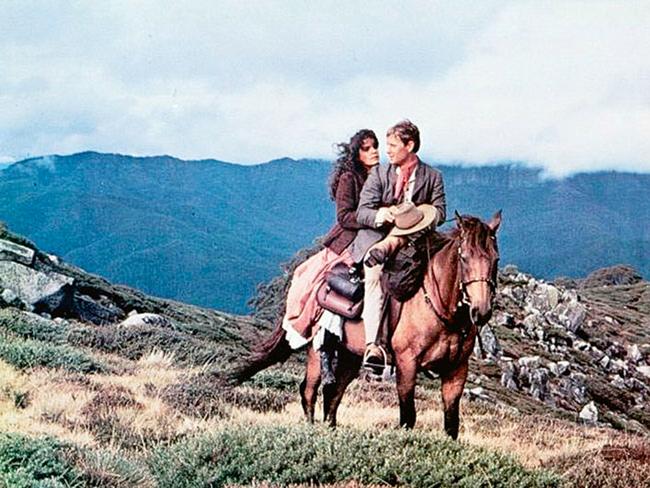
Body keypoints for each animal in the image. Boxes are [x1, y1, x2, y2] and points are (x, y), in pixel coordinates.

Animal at [233, 212, 502, 440]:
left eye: (495, 259)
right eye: (464, 258)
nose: (481, 311)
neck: (442, 310)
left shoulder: (457, 371)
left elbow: (451, 424)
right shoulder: (407, 364)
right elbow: (408, 417)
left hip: (350, 357)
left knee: (333, 394)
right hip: (316, 351)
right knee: (309, 391)